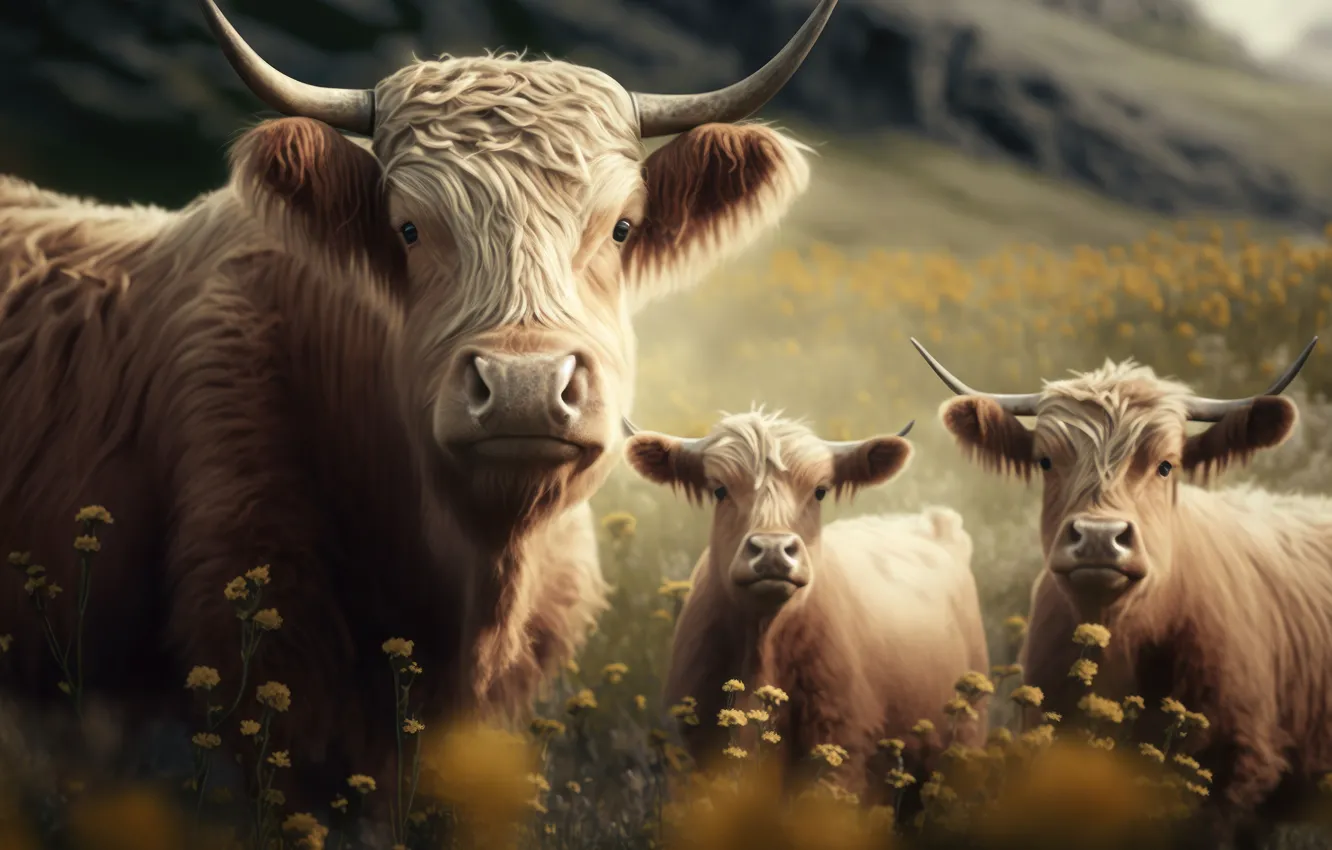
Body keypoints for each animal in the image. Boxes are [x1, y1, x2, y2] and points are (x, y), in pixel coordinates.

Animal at [623, 409, 991, 814]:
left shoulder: (839, 752)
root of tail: (935, 523)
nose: (772, 550)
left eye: (819, 491)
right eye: (720, 489)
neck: (763, 646)